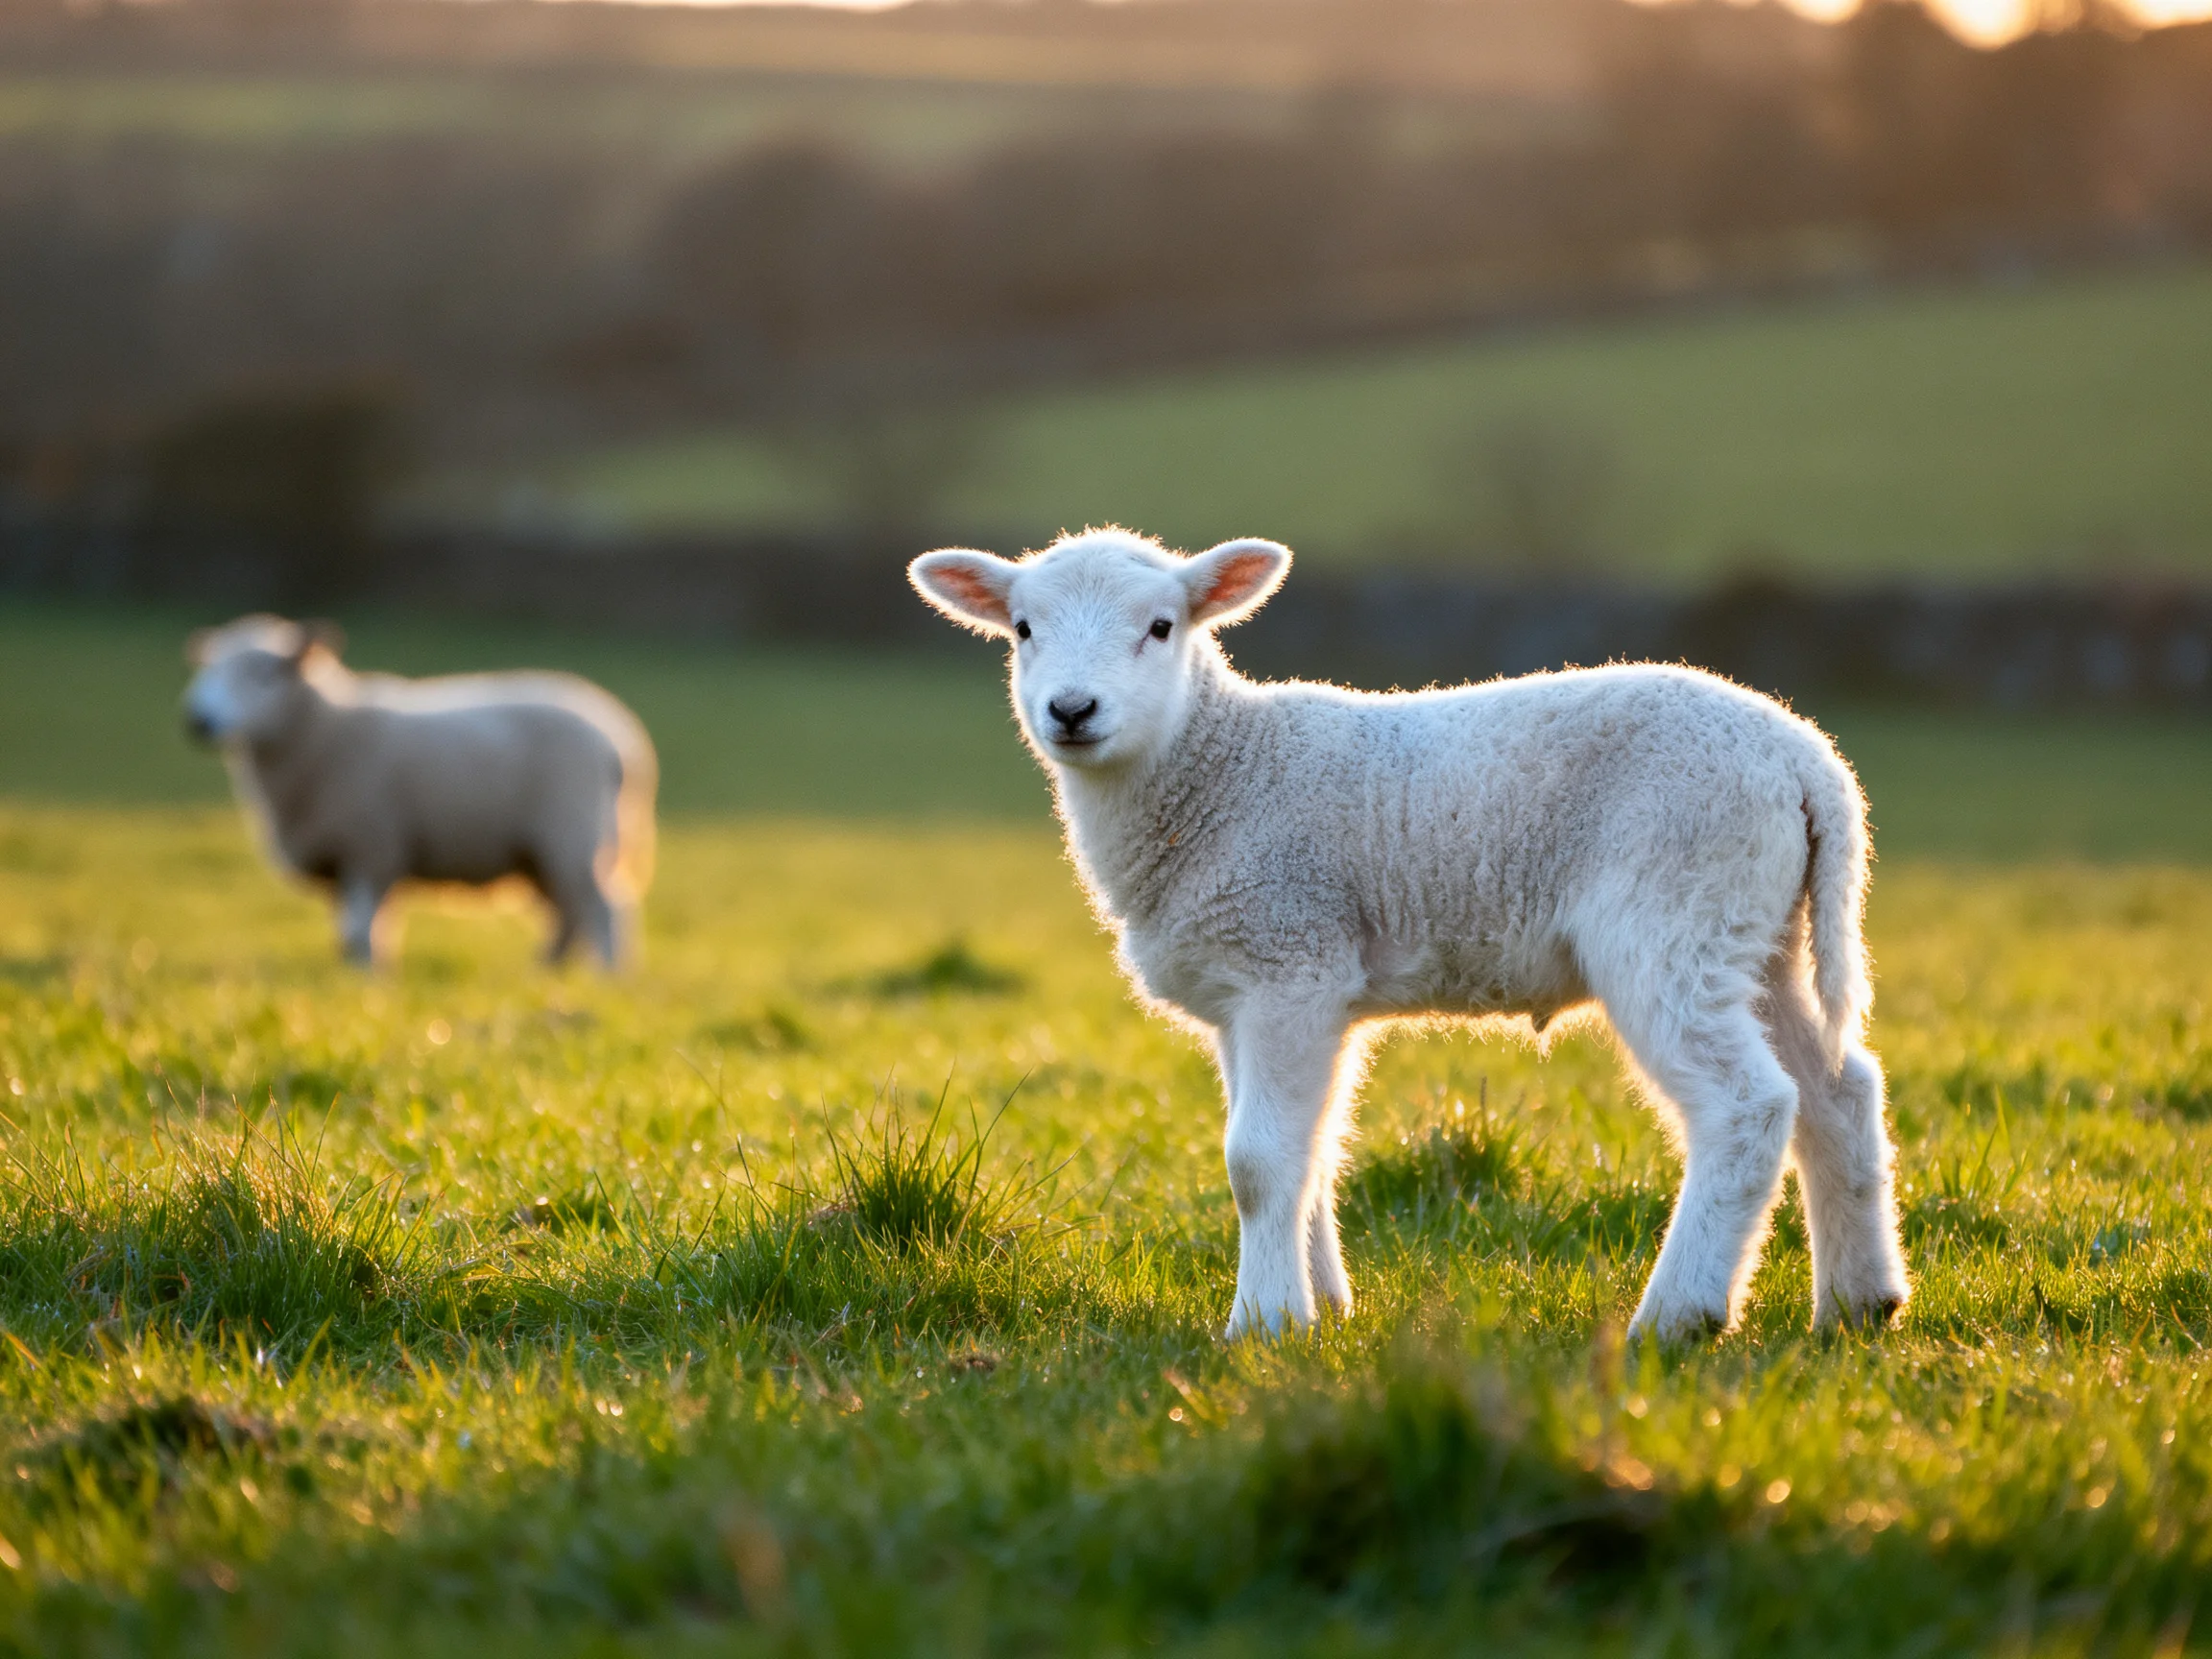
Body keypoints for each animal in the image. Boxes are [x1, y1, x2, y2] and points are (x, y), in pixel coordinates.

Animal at [182, 615, 656, 967]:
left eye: (266, 673)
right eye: (208, 669)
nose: (199, 721)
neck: (323, 731)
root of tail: (623, 739)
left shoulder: (371, 846)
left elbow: (360, 934)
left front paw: (368, 985)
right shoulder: (348, 859)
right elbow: (350, 936)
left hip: (574, 835)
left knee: (606, 911)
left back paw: (607, 980)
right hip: (541, 853)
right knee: (570, 914)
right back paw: (546, 971)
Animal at [909, 527, 1909, 1343]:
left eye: (1160, 627)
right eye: (1023, 629)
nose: (1072, 711)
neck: (1216, 771)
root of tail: (1808, 763)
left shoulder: (1290, 958)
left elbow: (1257, 1163)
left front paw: (1263, 1324)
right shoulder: (1256, 991)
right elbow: (1308, 1153)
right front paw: (1324, 1308)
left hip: (1675, 915)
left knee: (1749, 1106)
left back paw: (1680, 1316)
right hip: (1760, 933)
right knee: (1837, 1091)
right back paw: (1859, 1304)